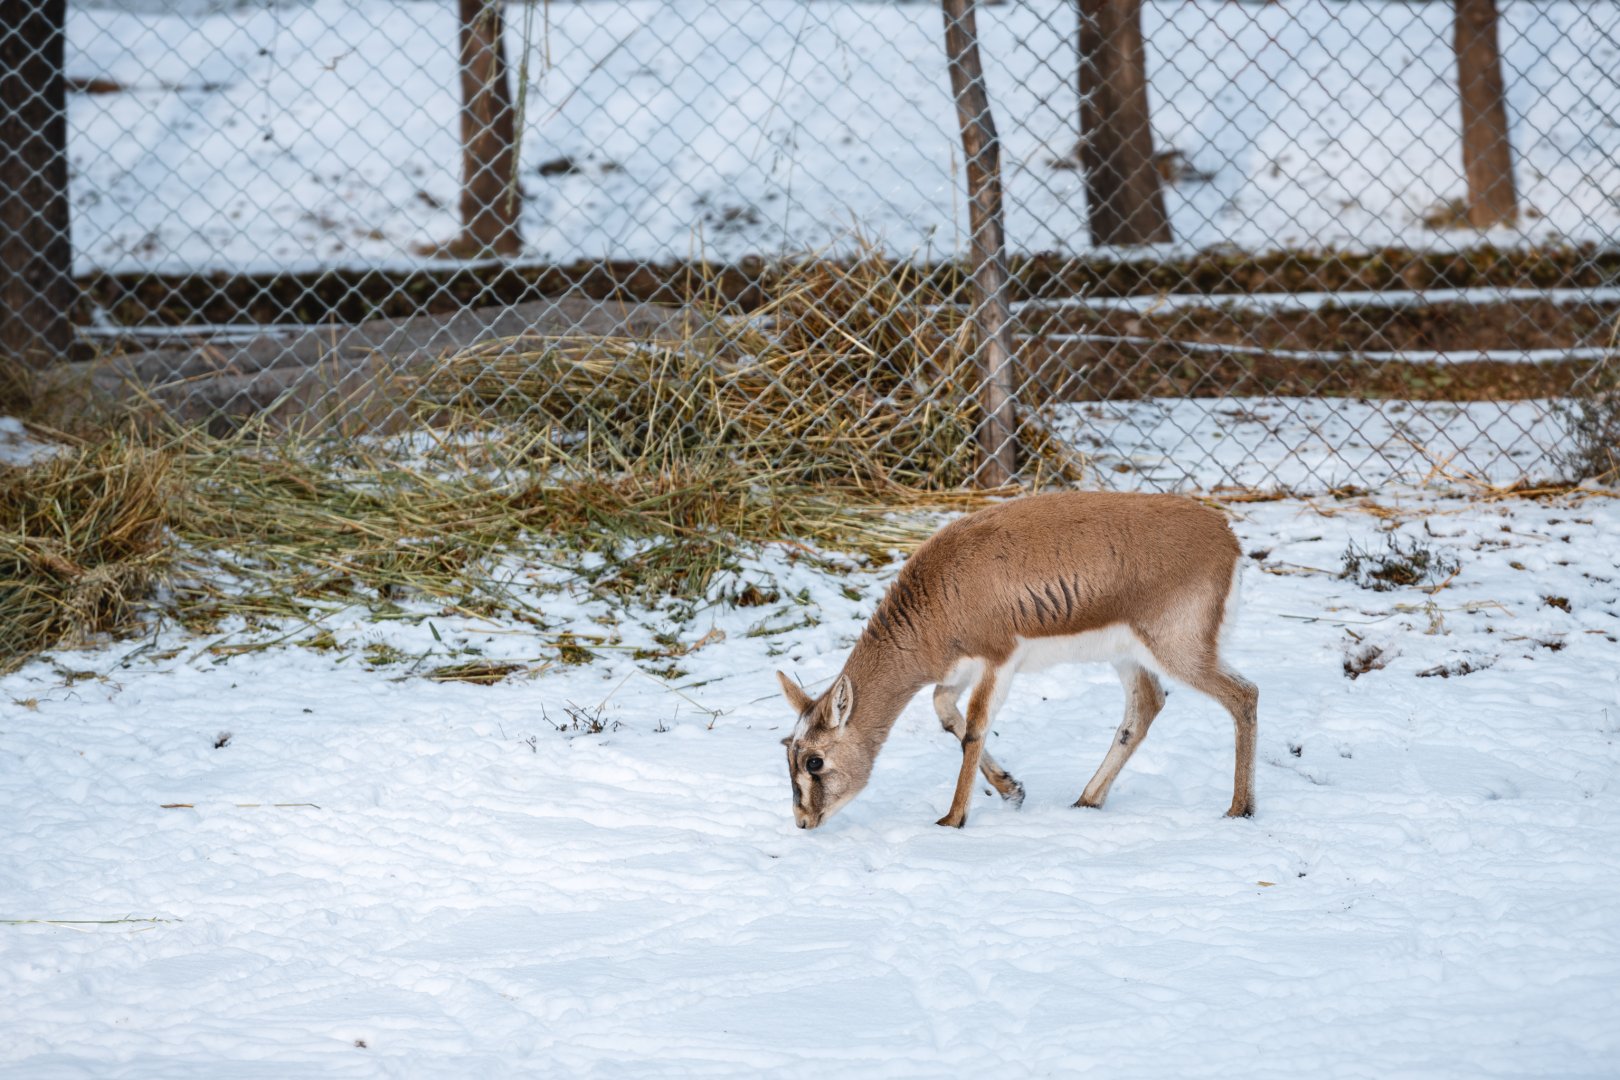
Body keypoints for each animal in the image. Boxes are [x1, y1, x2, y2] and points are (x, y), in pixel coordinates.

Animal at [778, 491, 1256, 829]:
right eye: (787, 751)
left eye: (814, 761)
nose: (803, 821)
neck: (940, 597)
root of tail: (1226, 534)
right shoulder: (959, 671)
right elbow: (944, 712)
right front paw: (1012, 790)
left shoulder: (999, 661)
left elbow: (974, 728)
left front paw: (952, 819)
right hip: (1128, 656)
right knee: (1147, 707)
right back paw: (1087, 799)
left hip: (1179, 651)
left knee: (1244, 694)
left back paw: (1239, 809)